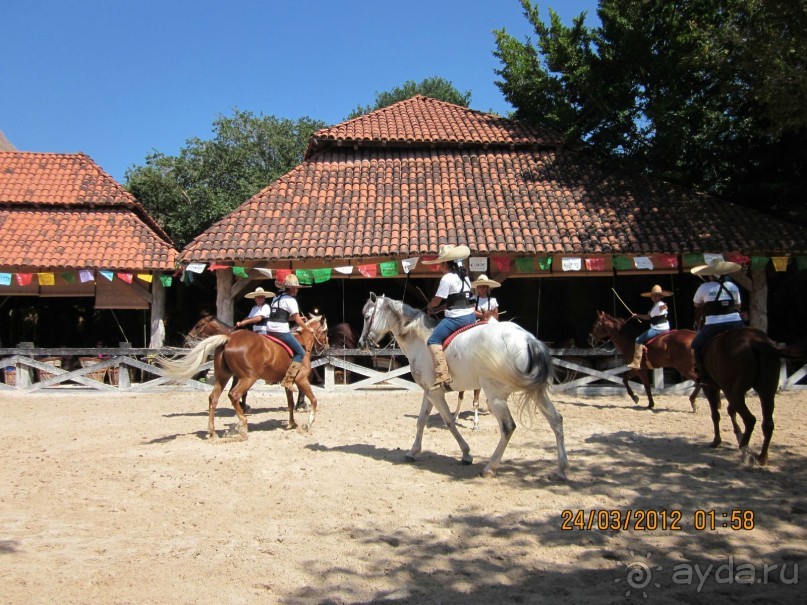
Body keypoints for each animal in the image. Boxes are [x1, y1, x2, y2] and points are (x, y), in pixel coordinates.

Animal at [159, 316, 330, 438]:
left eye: (199, 325)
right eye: (325, 332)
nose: (326, 347)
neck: (302, 343)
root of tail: (229, 338)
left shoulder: (289, 382)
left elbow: (290, 403)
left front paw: (292, 423)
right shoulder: (301, 380)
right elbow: (314, 400)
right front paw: (308, 424)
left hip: (223, 376)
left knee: (213, 398)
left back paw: (212, 431)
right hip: (248, 378)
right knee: (233, 394)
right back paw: (243, 423)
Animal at [360, 292, 568, 476]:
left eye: (367, 317)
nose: (362, 343)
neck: (420, 340)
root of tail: (528, 340)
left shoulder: (436, 394)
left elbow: (450, 422)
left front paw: (466, 454)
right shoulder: (429, 392)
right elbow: (421, 421)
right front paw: (413, 452)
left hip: (496, 396)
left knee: (508, 428)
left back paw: (490, 468)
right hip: (538, 393)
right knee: (556, 419)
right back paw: (561, 469)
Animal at [704, 328, 804, 464]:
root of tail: (755, 342)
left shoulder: (710, 387)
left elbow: (716, 415)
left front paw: (717, 441)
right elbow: (730, 411)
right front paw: (738, 434)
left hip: (733, 392)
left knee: (749, 419)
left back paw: (744, 450)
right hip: (765, 391)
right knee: (767, 424)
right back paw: (762, 457)